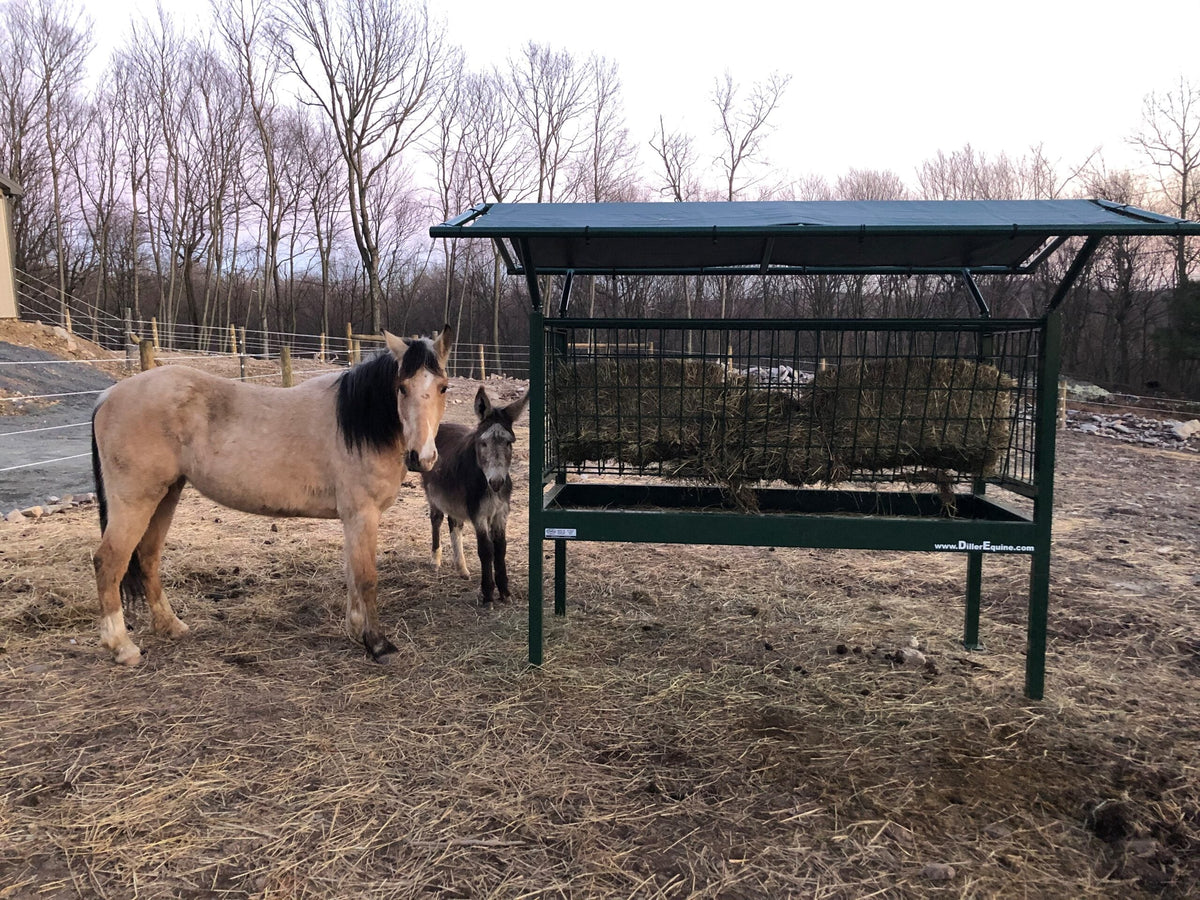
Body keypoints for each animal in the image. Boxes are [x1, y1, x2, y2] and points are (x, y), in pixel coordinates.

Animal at [90, 326, 453, 666]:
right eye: (401, 387)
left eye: (442, 387)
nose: (420, 457)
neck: (358, 425)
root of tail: (108, 394)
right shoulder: (363, 514)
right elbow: (366, 579)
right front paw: (378, 644)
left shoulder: (352, 519)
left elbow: (352, 574)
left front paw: (355, 629)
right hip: (135, 500)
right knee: (109, 561)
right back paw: (122, 647)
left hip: (166, 495)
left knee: (148, 556)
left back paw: (171, 626)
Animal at [421, 385, 529, 604]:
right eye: (483, 443)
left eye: (509, 443)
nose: (496, 483)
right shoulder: (478, 514)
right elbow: (486, 549)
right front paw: (488, 594)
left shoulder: (500, 513)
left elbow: (501, 548)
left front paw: (505, 592)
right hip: (434, 495)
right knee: (436, 520)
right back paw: (435, 560)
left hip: (453, 499)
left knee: (454, 524)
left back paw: (462, 568)